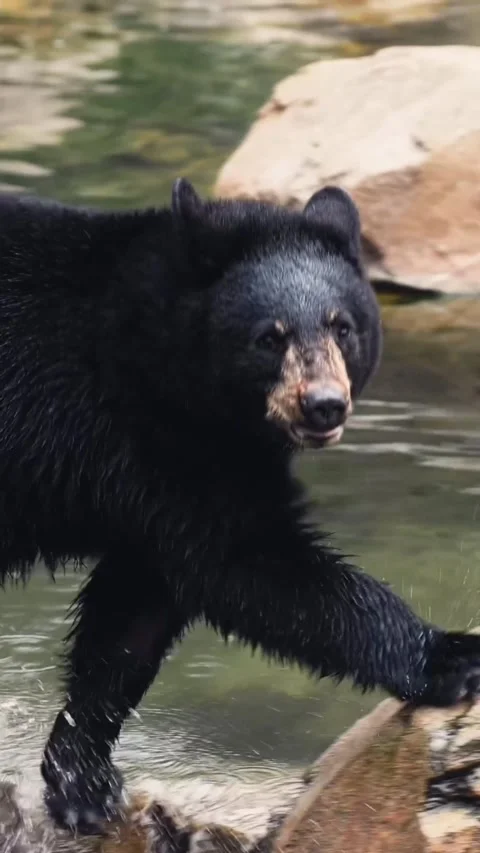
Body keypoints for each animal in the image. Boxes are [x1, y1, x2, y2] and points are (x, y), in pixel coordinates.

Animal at [1, 179, 480, 836]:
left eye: (342, 327)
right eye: (270, 337)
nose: (323, 405)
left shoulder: (158, 470)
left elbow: (133, 616)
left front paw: (83, 782)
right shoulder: (144, 434)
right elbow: (251, 565)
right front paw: (450, 657)